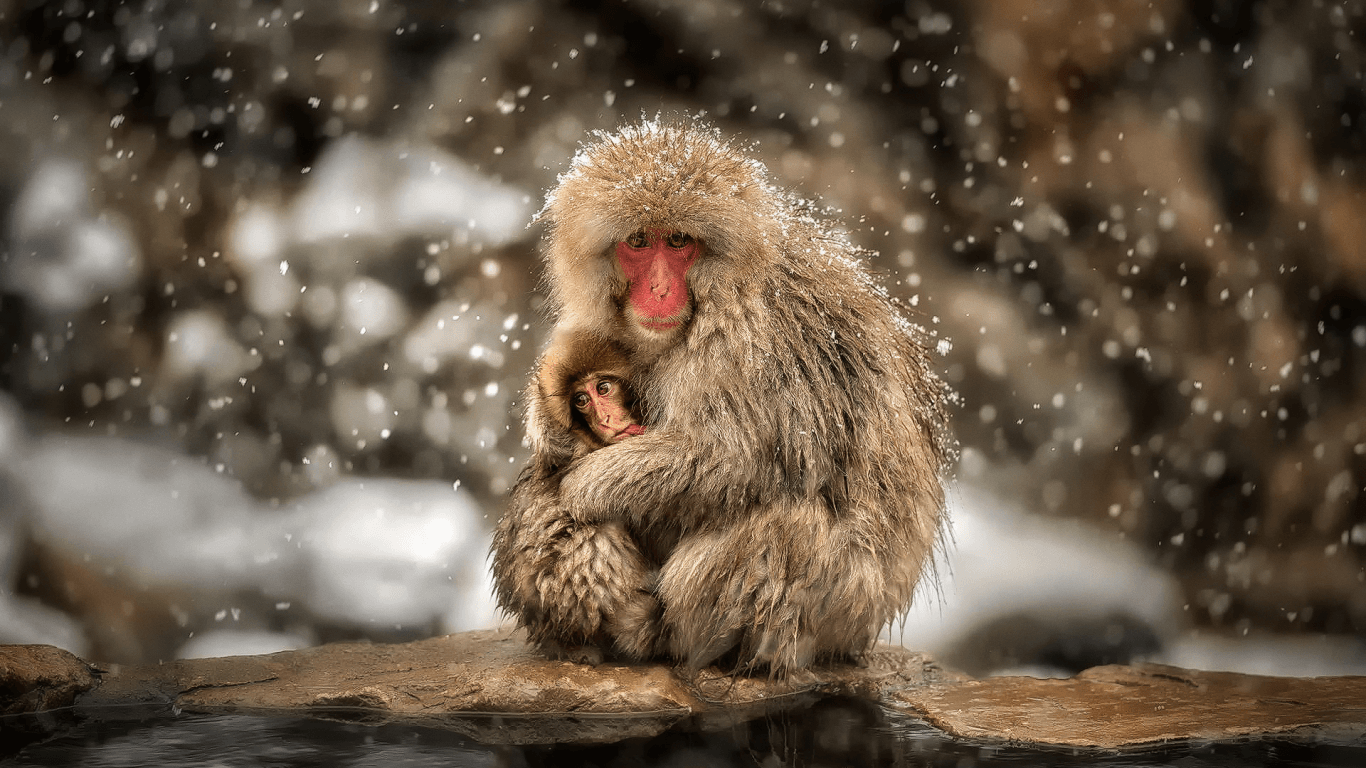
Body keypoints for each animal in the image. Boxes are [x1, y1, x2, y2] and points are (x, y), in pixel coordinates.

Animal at [493, 119, 953, 676]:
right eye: (639, 242)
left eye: (679, 241)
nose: (660, 290)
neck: (722, 294)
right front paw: (552, 428)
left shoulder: (756, 344)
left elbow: (731, 457)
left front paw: (585, 485)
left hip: (834, 607)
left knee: (787, 524)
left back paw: (660, 635)